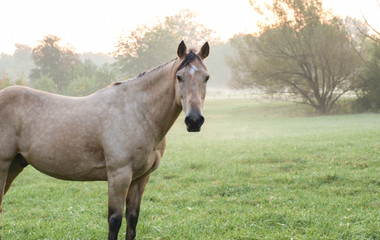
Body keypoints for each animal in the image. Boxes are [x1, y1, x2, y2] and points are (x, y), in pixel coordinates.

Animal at [0, 41, 211, 240]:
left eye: (206, 77)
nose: (194, 120)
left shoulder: (141, 178)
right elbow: (115, 221)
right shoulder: (119, 176)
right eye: (179, 77)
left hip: (15, 165)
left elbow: (132, 220)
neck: (138, 112)